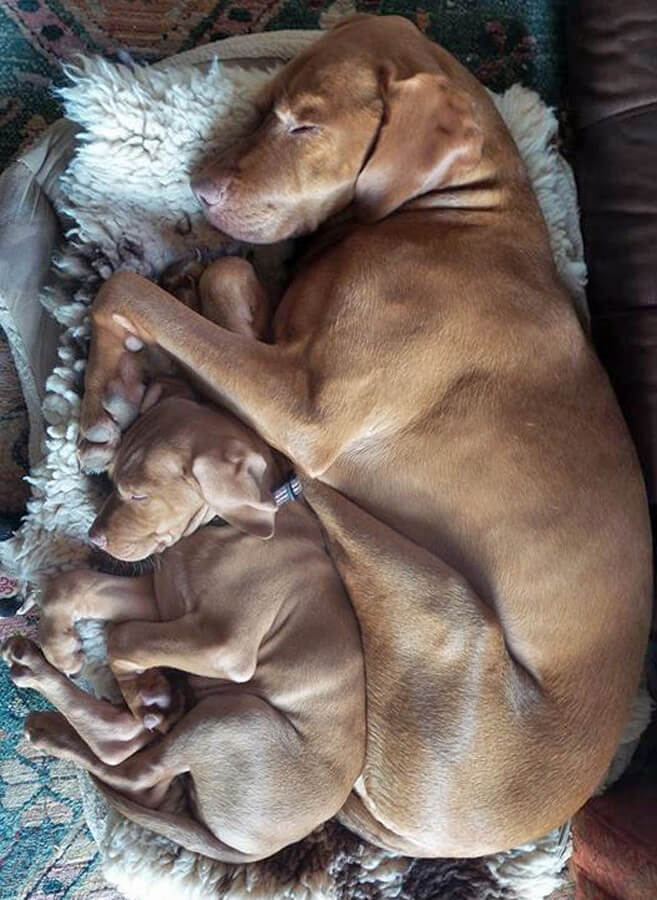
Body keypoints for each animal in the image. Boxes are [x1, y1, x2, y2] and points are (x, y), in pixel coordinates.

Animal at [73, 15, 652, 856]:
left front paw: (103, 399)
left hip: (412, 578)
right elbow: (226, 279)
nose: (201, 189)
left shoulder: (303, 407)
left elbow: (130, 289)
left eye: (305, 126)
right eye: (264, 109)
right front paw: (121, 382)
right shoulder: (283, 352)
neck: (453, 212)